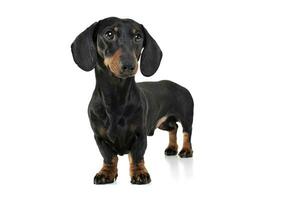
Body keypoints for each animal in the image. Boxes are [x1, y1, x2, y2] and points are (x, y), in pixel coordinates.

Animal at [70, 16, 192, 184]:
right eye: (109, 34)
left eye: (138, 37)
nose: (129, 65)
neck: (116, 97)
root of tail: (180, 86)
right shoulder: (99, 137)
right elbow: (109, 157)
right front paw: (106, 173)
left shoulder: (140, 134)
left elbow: (136, 156)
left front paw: (140, 173)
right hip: (163, 123)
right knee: (173, 127)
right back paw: (172, 148)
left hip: (187, 117)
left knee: (187, 133)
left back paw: (186, 150)